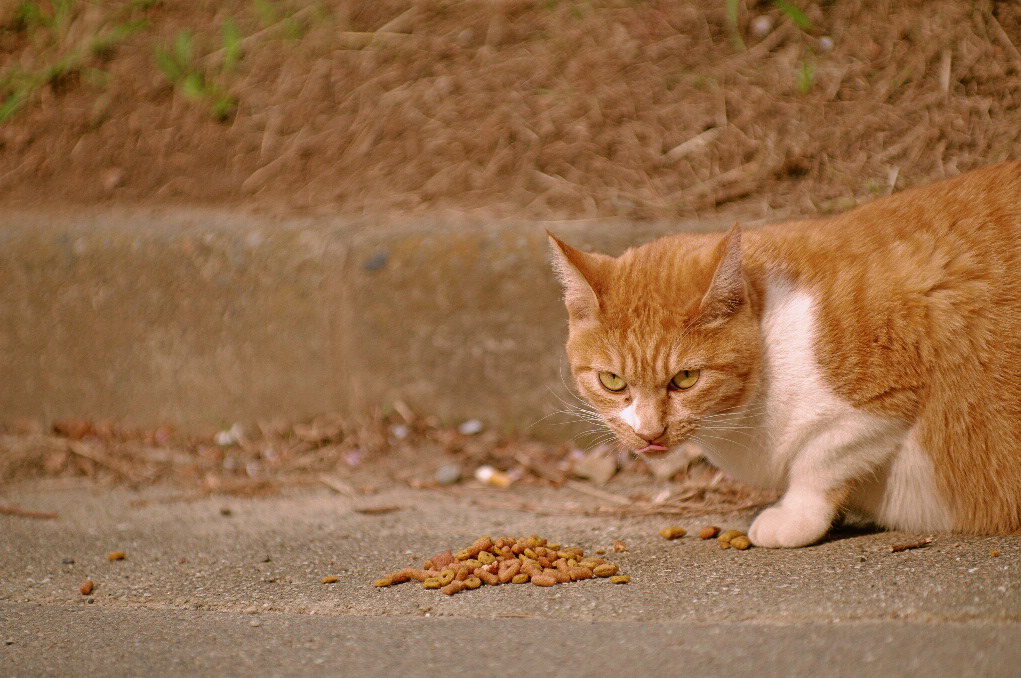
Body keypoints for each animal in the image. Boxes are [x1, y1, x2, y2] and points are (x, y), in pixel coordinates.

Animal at [551, 161, 1021, 547]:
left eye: (685, 379)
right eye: (613, 381)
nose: (650, 434)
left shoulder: (878, 404)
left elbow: (818, 461)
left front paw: (792, 518)